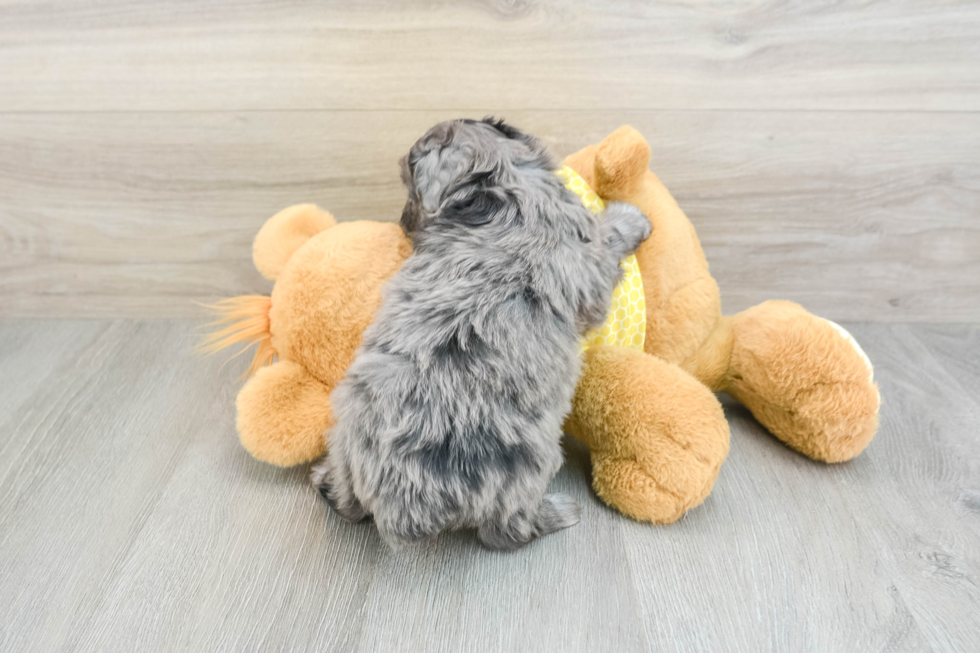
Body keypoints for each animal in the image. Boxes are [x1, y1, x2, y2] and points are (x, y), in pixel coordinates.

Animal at [312, 118, 652, 552]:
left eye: (409, 190)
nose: (403, 224)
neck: (505, 183)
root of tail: (402, 508)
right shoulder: (589, 261)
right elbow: (608, 236)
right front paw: (631, 217)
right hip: (526, 467)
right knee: (505, 532)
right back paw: (559, 513)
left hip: (346, 430)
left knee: (346, 500)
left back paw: (325, 482)